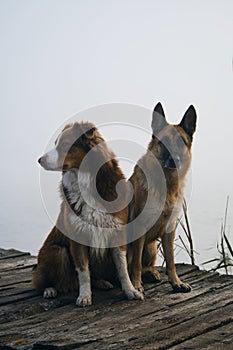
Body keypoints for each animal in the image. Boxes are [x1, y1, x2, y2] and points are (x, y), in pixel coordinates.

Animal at [31, 122, 143, 306]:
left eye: (64, 145)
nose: (39, 160)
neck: (85, 179)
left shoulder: (117, 232)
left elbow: (122, 268)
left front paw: (130, 291)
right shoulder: (77, 237)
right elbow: (83, 272)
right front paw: (84, 296)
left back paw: (102, 282)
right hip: (57, 252)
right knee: (39, 282)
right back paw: (49, 290)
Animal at [127, 103, 197, 292]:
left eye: (182, 143)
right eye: (164, 143)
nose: (175, 160)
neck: (166, 184)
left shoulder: (169, 229)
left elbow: (171, 260)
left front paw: (176, 282)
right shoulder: (139, 228)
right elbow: (135, 263)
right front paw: (136, 285)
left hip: (151, 247)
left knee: (146, 265)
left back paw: (151, 273)